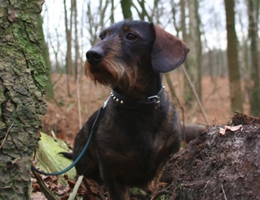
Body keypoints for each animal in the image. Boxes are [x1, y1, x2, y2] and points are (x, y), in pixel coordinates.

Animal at [73, 19, 189, 198]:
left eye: (131, 36)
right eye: (102, 36)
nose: (91, 55)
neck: (138, 106)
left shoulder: (169, 153)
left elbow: (158, 178)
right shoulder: (110, 171)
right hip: (84, 162)